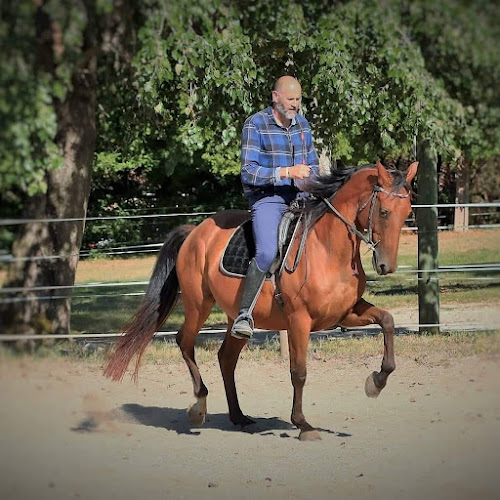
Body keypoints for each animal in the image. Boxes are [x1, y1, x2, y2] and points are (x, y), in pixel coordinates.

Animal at [104, 160, 418, 442]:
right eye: (385, 211)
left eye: (407, 212)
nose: (386, 266)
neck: (326, 248)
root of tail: (195, 232)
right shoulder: (299, 320)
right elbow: (298, 371)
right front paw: (303, 425)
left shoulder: (345, 313)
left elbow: (388, 321)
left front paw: (376, 382)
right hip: (198, 305)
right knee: (184, 342)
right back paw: (199, 407)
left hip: (235, 316)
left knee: (226, 358)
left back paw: (239, 417)